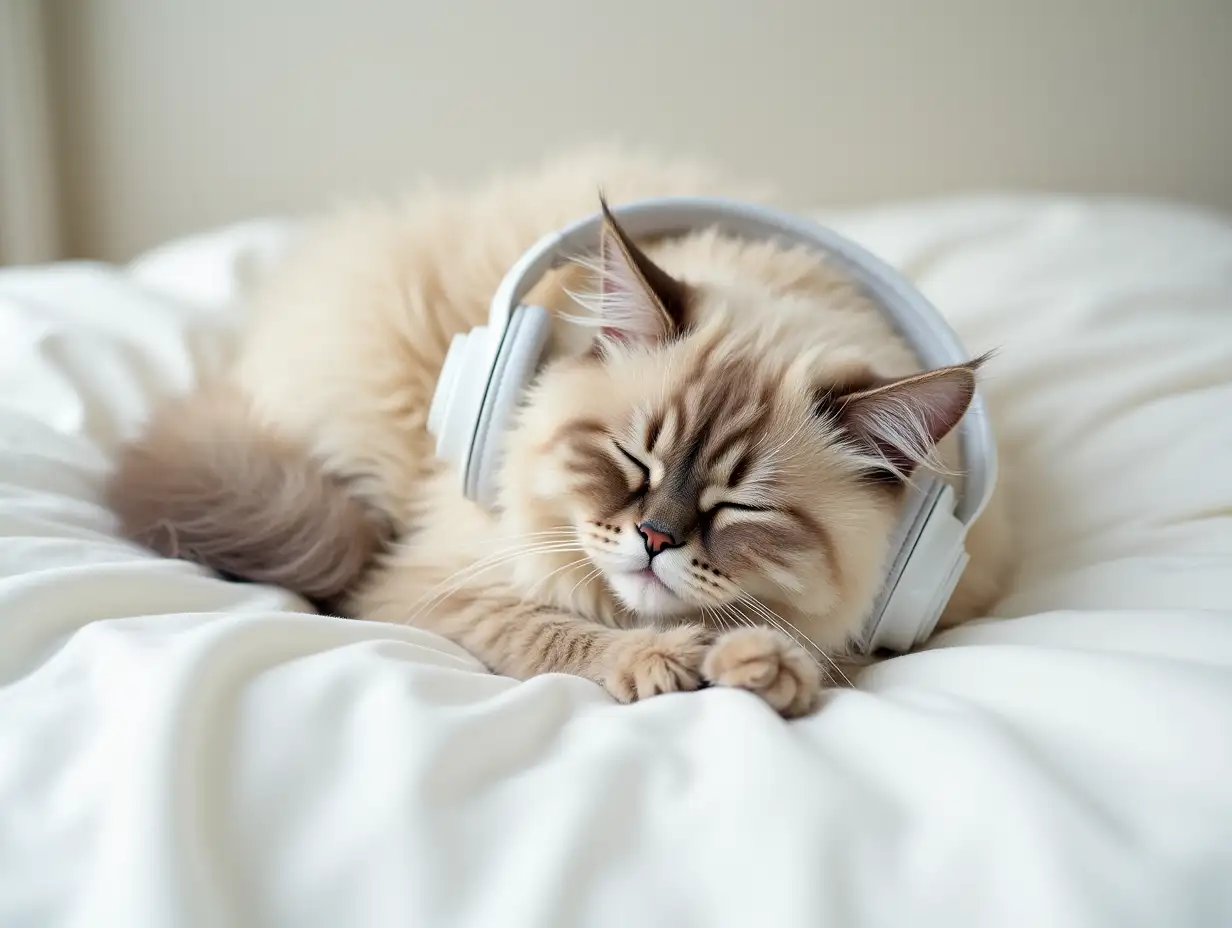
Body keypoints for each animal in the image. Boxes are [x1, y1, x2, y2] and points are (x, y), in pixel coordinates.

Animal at [105, 150, 1010, 714]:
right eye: (632, 460)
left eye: (741, 508)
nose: (654, 538)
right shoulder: (439, 585)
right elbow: (556, 632)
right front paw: (660, 662)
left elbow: (807, 647)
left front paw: (759, 669)